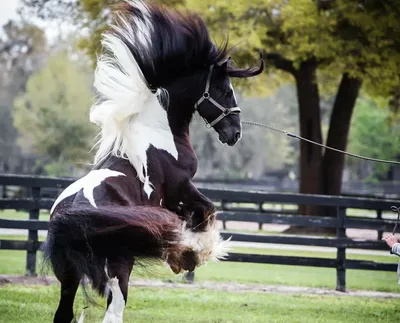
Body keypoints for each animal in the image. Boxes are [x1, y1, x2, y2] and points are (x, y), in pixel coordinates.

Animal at [43, 1, 262, 322]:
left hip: (68, 278)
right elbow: (207, 211)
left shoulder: (169, 200)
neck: (155, 132)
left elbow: (194, 216)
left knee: (64, 313)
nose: (235, 132)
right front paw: (191, 255)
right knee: (114, 313)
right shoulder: (180, 186)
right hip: (118, 271)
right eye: (225, 90)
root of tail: (71, 216)